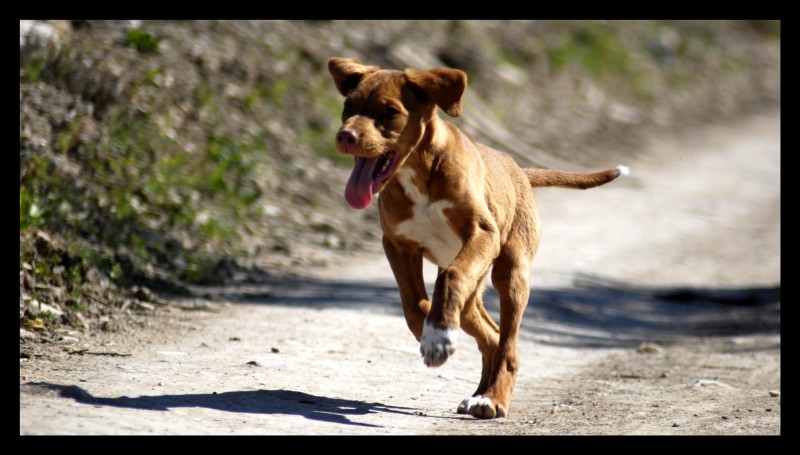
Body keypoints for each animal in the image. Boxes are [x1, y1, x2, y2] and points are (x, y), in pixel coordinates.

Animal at [328, 58, 628, 420]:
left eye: (389, 112)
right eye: (348, 107)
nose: (346, 136)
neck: (419, 171)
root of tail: (519, 169)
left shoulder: (481, 233)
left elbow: (450, 277)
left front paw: (438, 336)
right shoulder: (398, 245)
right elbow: (415, 305)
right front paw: (432, 331)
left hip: (510, 272)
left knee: (508, 344)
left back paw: (492, 399)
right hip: (474, 291)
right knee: (491, 335)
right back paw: (479, 391)